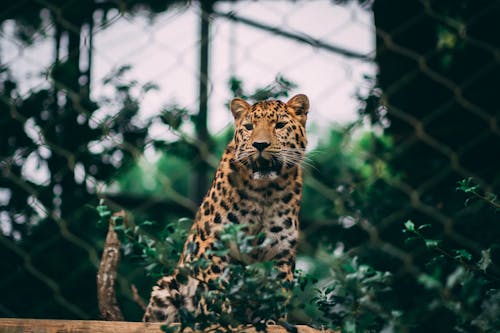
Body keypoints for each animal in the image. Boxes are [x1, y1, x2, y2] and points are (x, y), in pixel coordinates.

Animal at [143, 92, 310, 322]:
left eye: (280, 125)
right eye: (249, 127)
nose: (260, 144)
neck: (265, 191)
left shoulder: (282, 249)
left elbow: (278, 289)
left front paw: (273, 320)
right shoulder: (213, 241)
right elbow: (216, 283)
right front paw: (220, 316)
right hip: (166, 290)